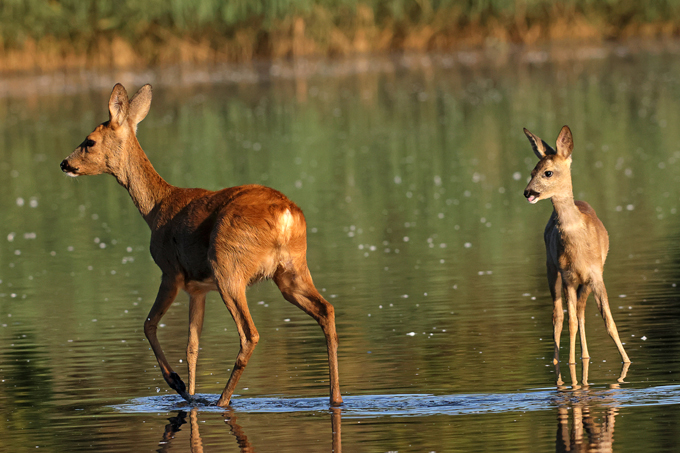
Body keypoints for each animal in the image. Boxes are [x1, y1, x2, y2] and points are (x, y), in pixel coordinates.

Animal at [60, 83, 342, 407]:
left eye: (89, 141)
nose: (64, 163)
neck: (156, 208)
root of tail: (285, 214)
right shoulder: (197, 288)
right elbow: (192, 346)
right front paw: (191, 392)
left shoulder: (170, 271)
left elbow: (148, 324)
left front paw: (179, 384)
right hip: (291, 270)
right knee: (326, 310)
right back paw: (335, 398)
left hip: (228, 267)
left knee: (250, 334)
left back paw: (221, 401)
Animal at [522, 125, 630, 366]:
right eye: (532, 171)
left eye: (547, 172)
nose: (527, 192)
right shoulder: (568, 276)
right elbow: (569, 321)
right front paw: (570, 363)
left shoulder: (596, 274)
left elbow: (609, 322)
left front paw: (627, 361)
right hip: (551, 267)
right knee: (558, 315)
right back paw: (558, 361)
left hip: (586, 280)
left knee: (580, 312)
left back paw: (586, 356)